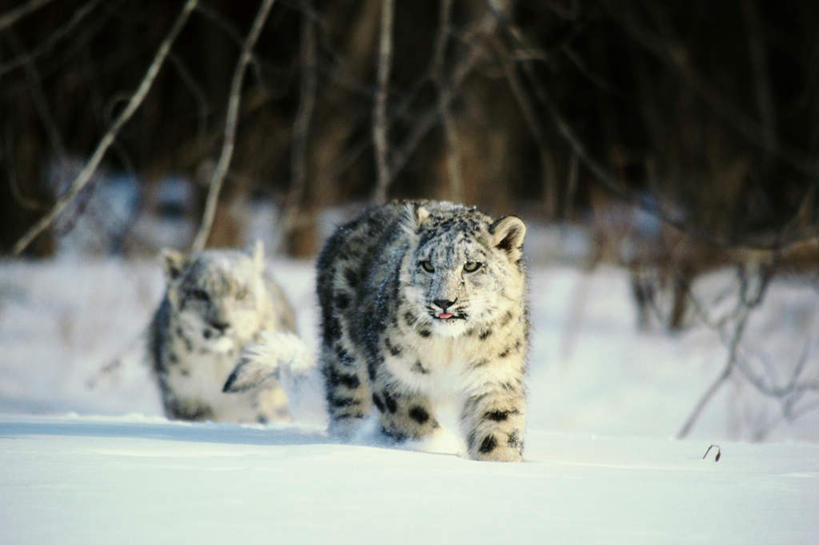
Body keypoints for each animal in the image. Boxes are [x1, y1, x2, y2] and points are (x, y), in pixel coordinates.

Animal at [151, 240, 298, 422]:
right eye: (200, 294)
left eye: (241, 294)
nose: (221, 324)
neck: (219, 364)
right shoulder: (185, 399)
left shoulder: (267, 394)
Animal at [316, 200, 532, 460]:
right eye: (428, 264)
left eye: (471, 265)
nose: (444, 301)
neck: (452, 348)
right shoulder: (394, 374)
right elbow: (412, 417)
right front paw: (436, 447)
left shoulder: (494, 376)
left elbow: (498, 426)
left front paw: (499, 460)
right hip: (343, 353)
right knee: (347, 398)